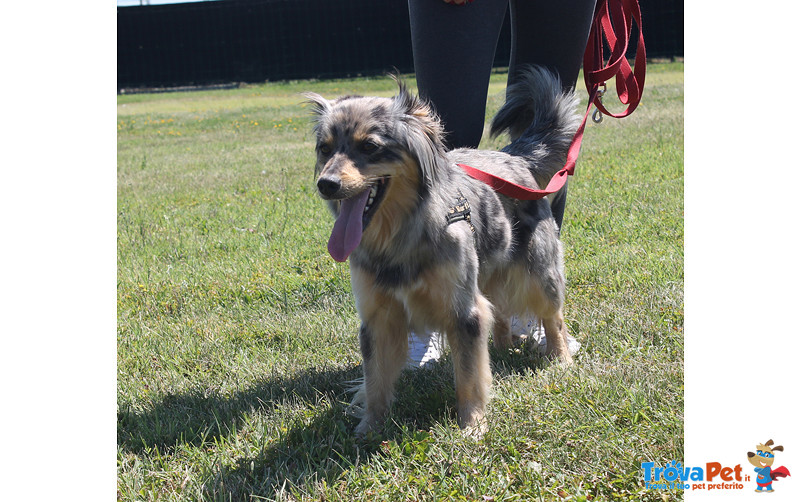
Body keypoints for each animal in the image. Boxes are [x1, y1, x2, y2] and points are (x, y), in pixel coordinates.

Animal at [304, 65, 580, 436]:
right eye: (324, 148)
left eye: (370, 146)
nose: (326, 184)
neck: (399, 236)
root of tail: (514, 156)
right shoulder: (377, 315)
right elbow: (376, 378)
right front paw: (369, 428)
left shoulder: (464, 310)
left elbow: (469, 375)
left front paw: (472, 425)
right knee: (500, 310)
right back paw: (503, 347)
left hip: (541, 271)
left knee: (553, 317)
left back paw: (560, 358)